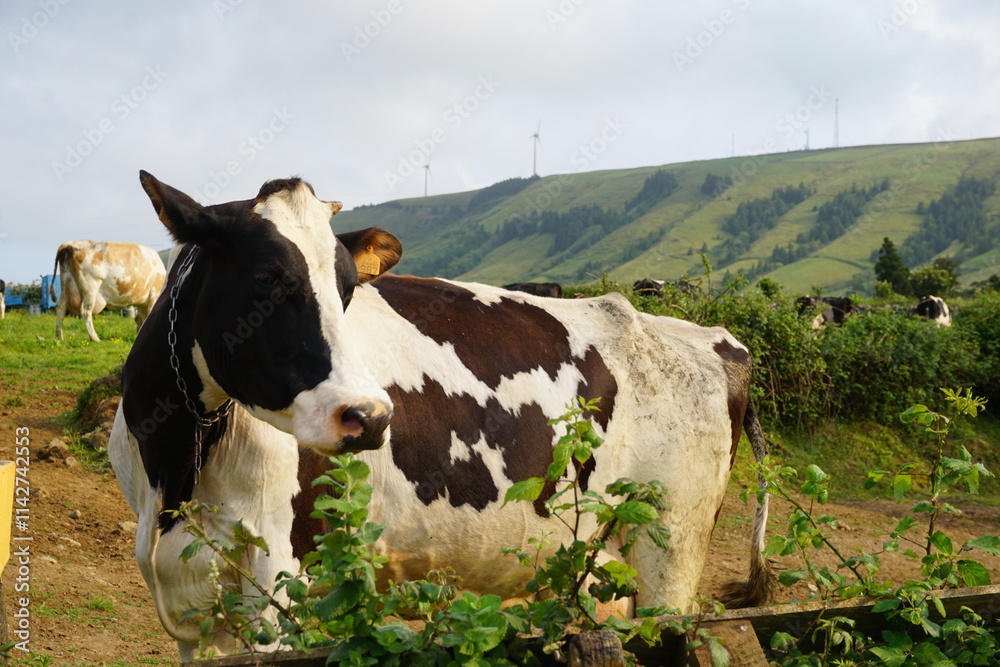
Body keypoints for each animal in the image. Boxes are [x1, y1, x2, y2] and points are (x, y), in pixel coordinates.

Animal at [109, 172, 774, 660]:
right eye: (268, 279)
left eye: (348, 289)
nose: (371, 416)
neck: (175, 471)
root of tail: (713, 338)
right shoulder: (191, 605)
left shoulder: (274, 583)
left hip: (672, 552)